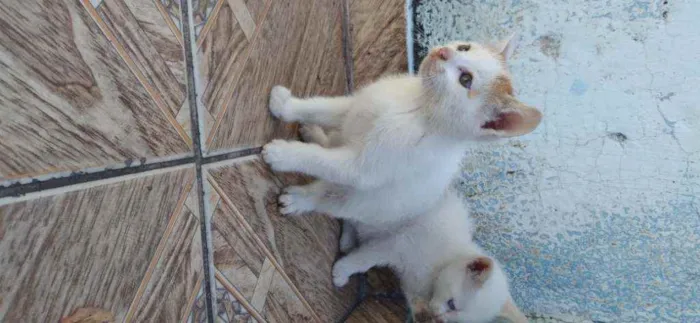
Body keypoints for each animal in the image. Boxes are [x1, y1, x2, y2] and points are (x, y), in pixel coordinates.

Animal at [262, 37, 540, 243]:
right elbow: (321, 108)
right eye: (464, 47)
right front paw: (286, 106)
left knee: (330, 195)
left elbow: (321, 161)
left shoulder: (366, 169)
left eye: (465, 79)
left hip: (368, 202)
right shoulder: (356, 106)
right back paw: (314, 133)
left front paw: (283, 155)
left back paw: (300, 199)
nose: (443, 52)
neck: (417, 105)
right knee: (334, 143)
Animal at [334, 192, 524, 323]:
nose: (439, 318)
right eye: (452, 304)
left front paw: (423, 313)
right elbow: (364, 259)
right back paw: (347, 239)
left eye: (457, 320)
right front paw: (341, 272)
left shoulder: (413, 283)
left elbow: (414, 300)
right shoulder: (398, 244)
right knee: (349, 214)